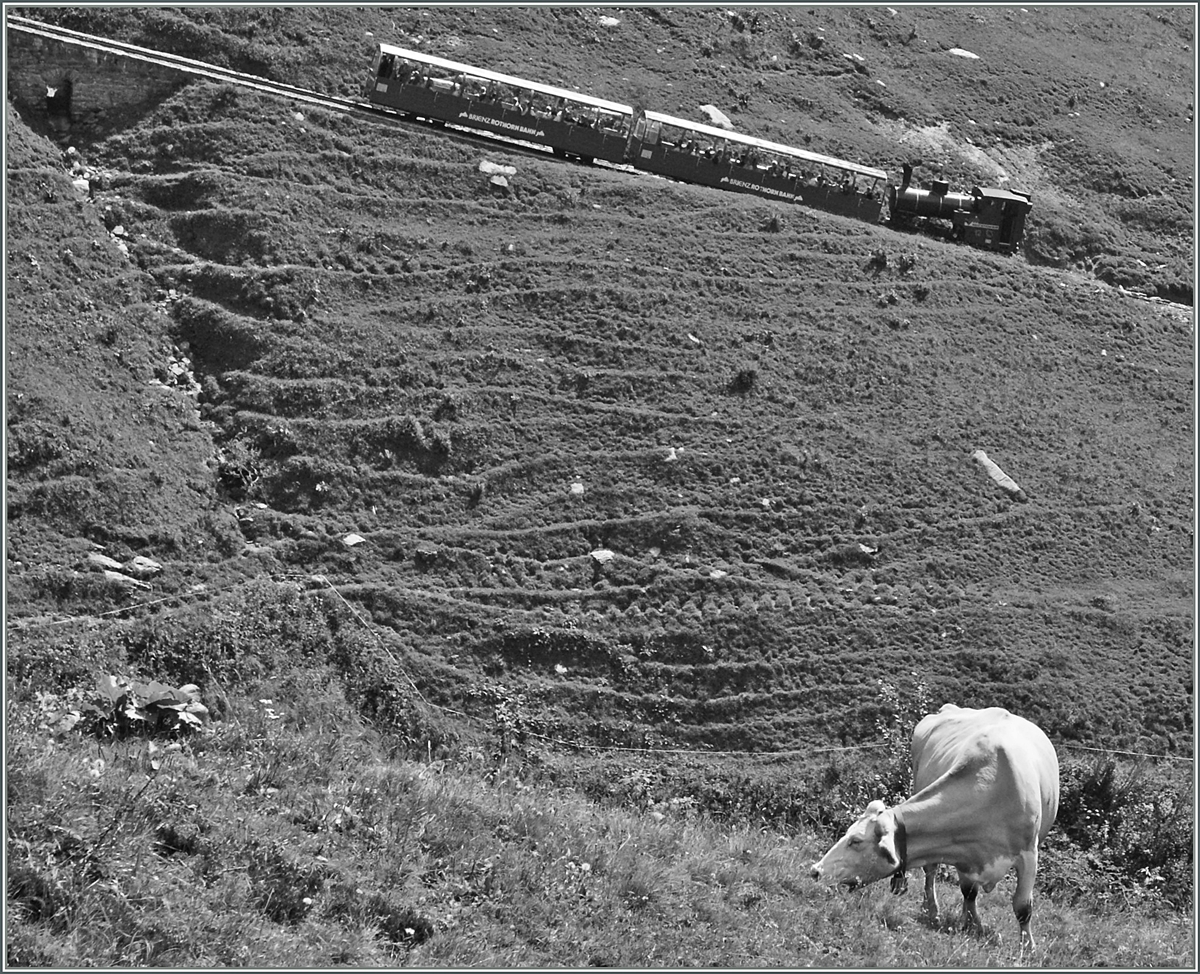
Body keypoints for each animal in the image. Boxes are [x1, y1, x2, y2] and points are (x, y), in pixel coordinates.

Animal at [811, 705, 1056, 945]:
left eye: (855, 841)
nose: (815, 871)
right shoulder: (961, 849)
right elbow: (969, 891)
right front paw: (971, 923)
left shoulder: (1028, 854)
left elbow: (1022, 907)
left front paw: (1027, 947)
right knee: (931, 872)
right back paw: (931, 909)